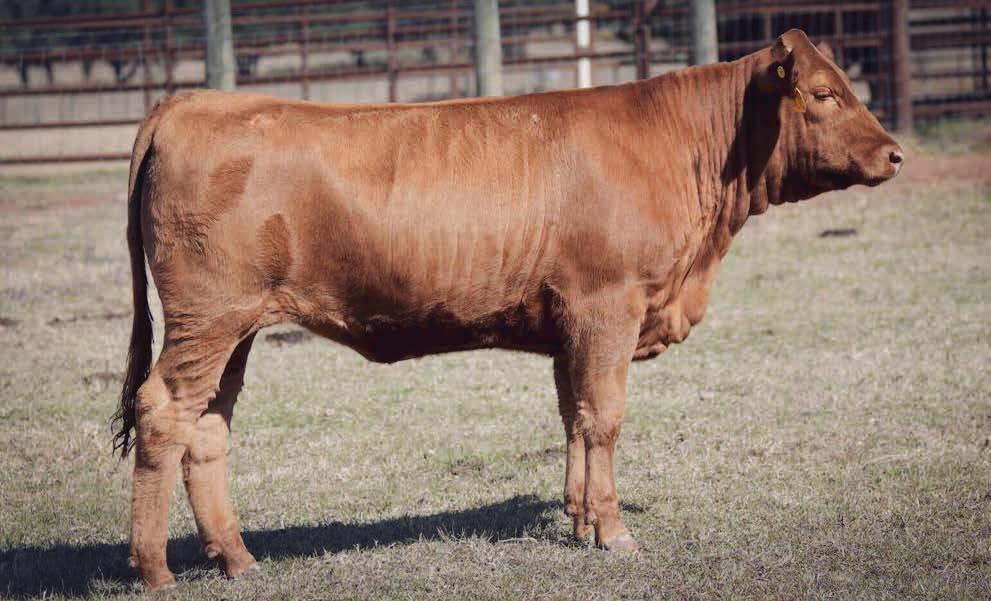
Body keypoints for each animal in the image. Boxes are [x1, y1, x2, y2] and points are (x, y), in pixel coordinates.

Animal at [113, 29, 903, 590]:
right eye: (824, 94)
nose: (895, 154)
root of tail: (194, 101)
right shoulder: (607, 307)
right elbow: (604, 418)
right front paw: (613, 532)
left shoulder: (570, 327)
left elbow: (573, 417)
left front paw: (579, 521)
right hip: (207, 317)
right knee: (163, 413)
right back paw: (155, 570)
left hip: (235, 326)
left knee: (207, 427)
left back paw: (237, 557)